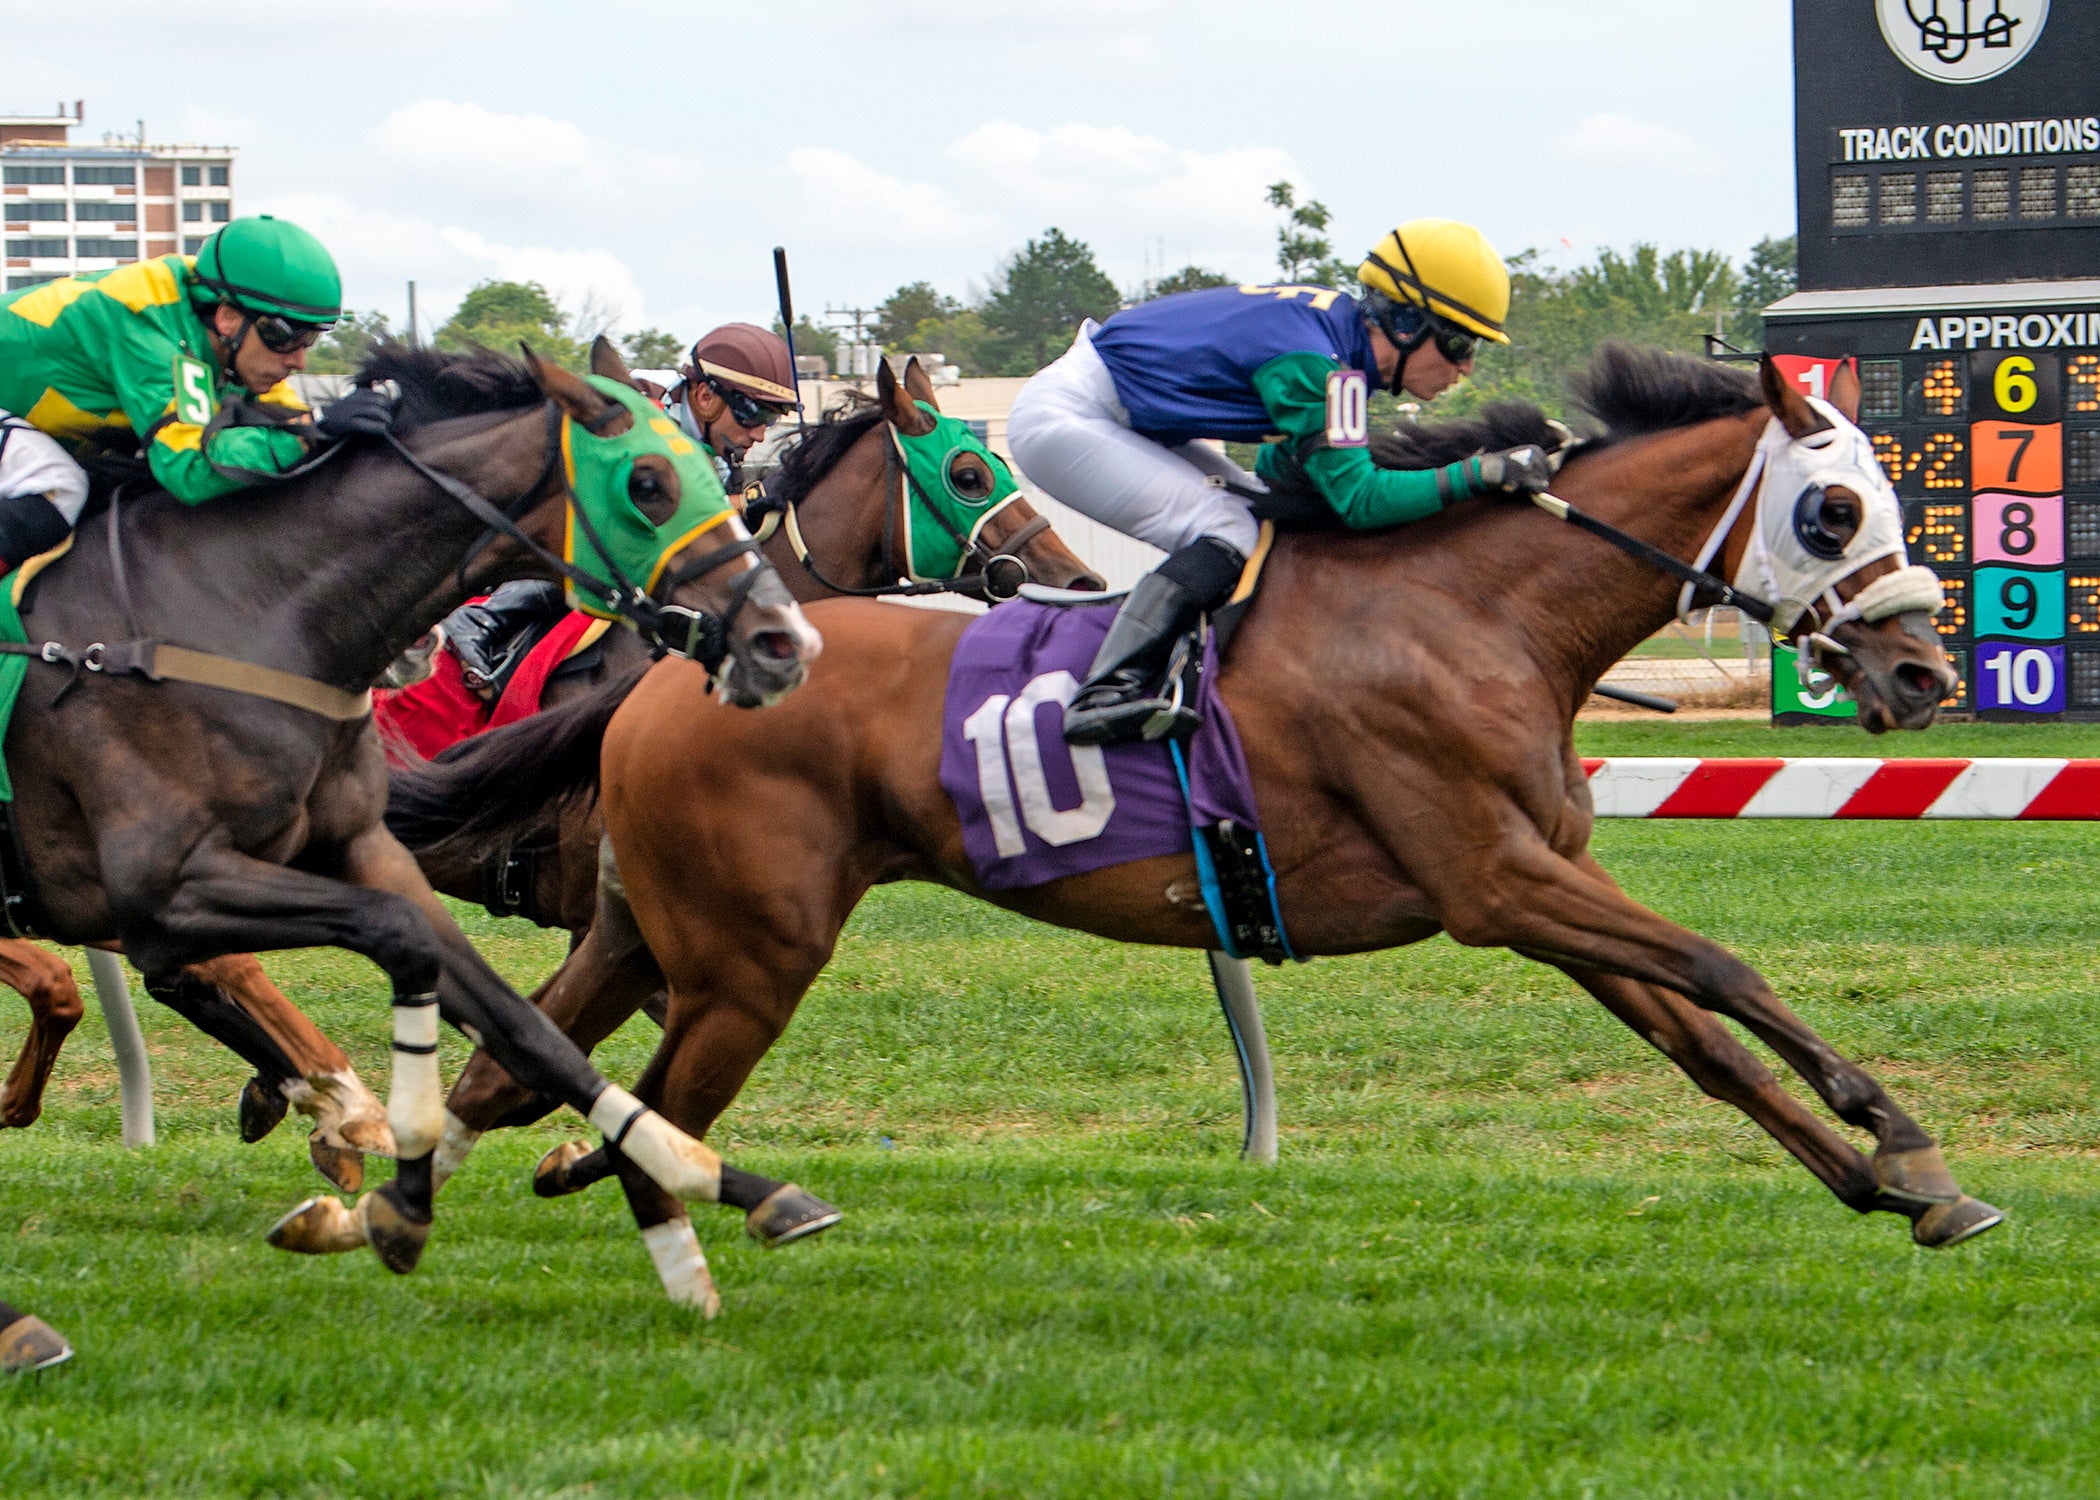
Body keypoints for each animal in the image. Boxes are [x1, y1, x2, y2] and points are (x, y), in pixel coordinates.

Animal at [409, 344, 1999, 1294]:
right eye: (1836, 513)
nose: (1927, 673)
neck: (1473, 613)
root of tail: (671, 674)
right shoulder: (1495, 882)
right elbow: (1729, 971)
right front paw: (1908, 1141)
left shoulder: (1542, 888)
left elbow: (1707, 1045)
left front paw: (1896, 1191)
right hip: (749, 960)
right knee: (638, 1106)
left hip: (644, 932)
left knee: (518, 1073)